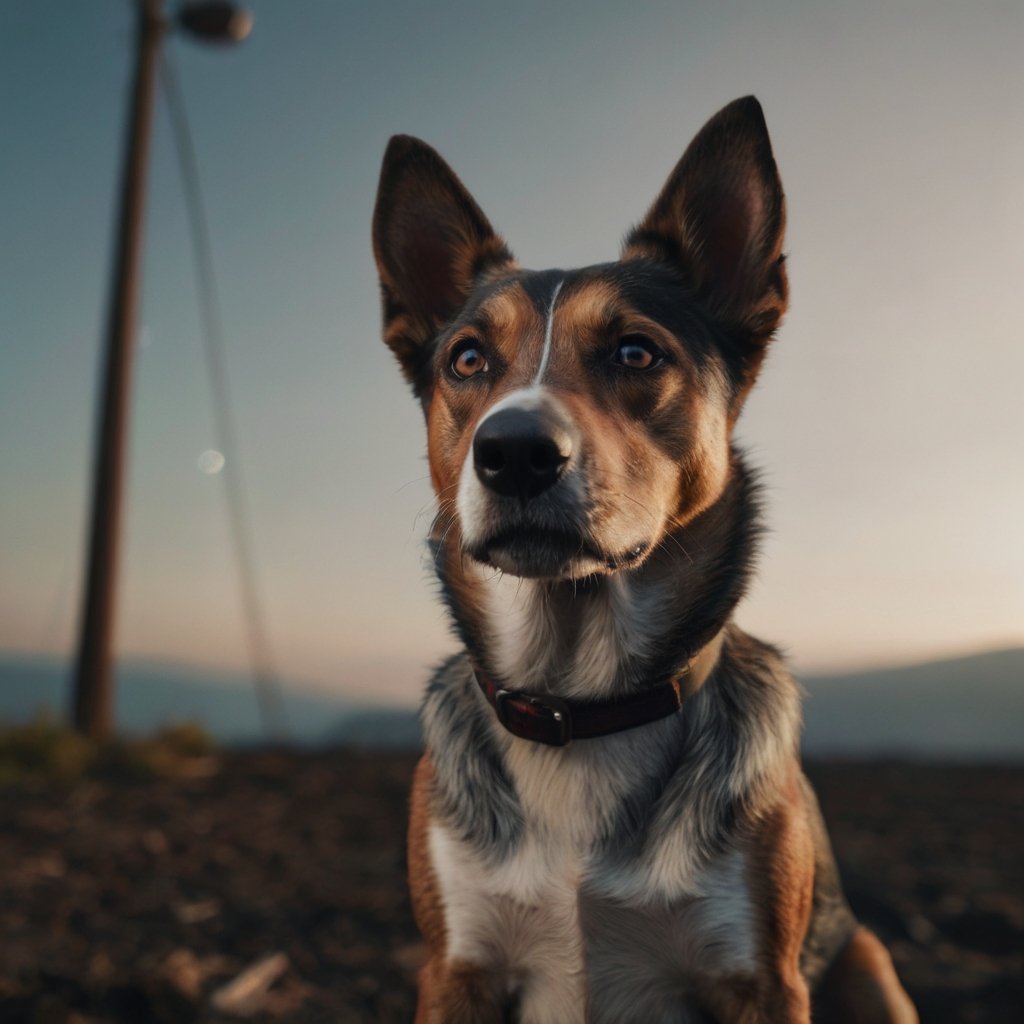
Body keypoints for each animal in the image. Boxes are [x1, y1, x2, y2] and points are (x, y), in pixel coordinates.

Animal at [372, 96, 917, 1024]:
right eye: (467, 359)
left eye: (635, 351)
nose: (514, 453)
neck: (580, 706)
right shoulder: (456, 968)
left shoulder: (762, 980)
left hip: (868, 963)